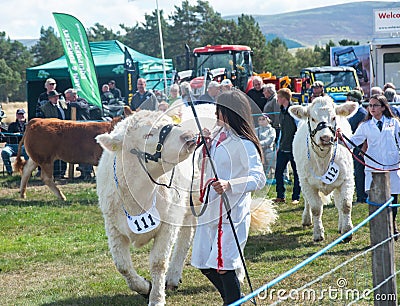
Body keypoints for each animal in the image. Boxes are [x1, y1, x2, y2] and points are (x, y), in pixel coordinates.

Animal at [290, 96, 358, 241]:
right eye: (312, 118)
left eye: (334, 117)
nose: (326, 137)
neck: (323, 159)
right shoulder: (307, 183)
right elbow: (316, 208)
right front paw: (318, 233)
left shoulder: (347, 179)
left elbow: (345, 205)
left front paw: (347, 231)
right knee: (307, 201)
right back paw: (307, 219)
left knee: (338, 202)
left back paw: (341, 225)